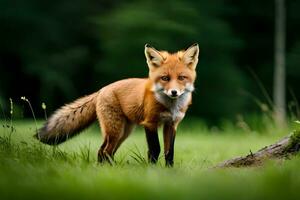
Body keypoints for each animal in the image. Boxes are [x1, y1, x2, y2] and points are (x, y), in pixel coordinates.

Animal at [35, 43, 199, 167]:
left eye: (181, 78)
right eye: (165, 78)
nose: (174, 92)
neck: (170, 106)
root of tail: (102, 89)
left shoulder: (171, 124)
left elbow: (169, 152)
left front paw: (169, 171)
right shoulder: (150, 123)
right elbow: (155, 150)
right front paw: (152, 170)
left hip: (123, 132)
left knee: (105, 151)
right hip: (115, 130)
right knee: (104, 151)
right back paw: (109, 170)